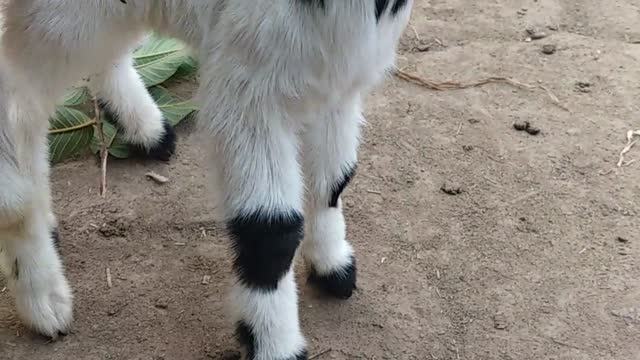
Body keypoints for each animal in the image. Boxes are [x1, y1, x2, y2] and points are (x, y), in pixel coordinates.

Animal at [0, 1, 412, 358]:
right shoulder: (250, 87)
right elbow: (269, 231)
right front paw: (274, 344)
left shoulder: (339, 72)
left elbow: (333, 181)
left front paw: (332, 262)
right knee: (20, 109)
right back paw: (43, 294)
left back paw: (145, 128)